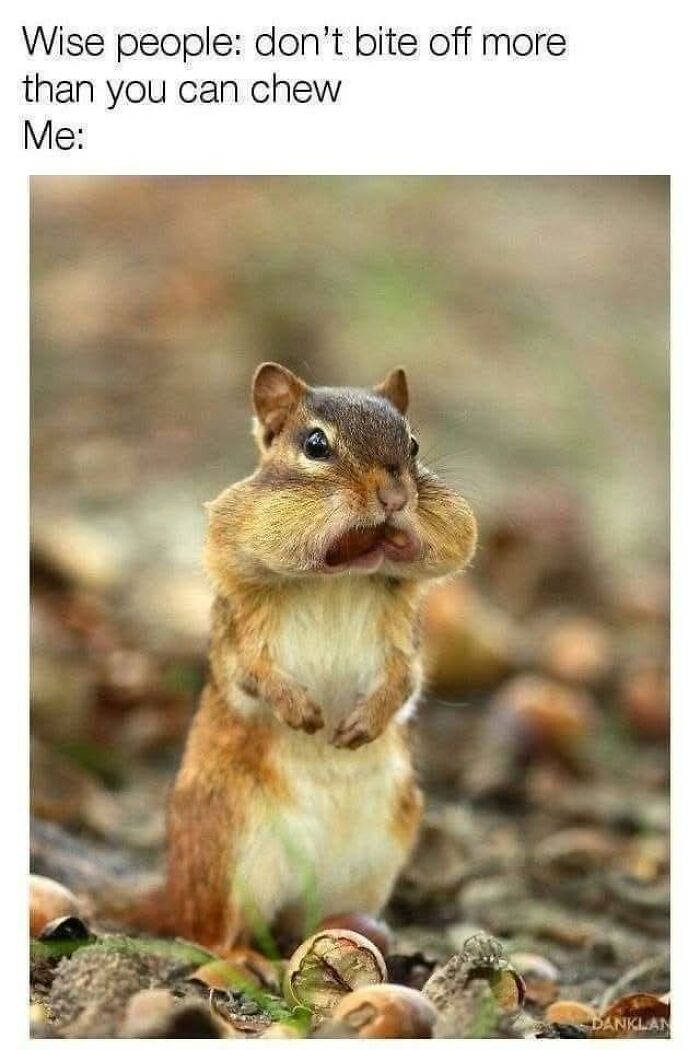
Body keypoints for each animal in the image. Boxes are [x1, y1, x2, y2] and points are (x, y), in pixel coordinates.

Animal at [162, 362, 477, 955]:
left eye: (413, 444)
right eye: (315, 445)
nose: (395, 494)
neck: (337, 582)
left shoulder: (403, 638)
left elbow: (406, 680)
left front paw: (363, 724)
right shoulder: (243, 631)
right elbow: (252, 672)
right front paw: (301, 711)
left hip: (371, 861)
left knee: (306, 922)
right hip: (228, 853)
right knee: (214, 935)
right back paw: (246, 958)